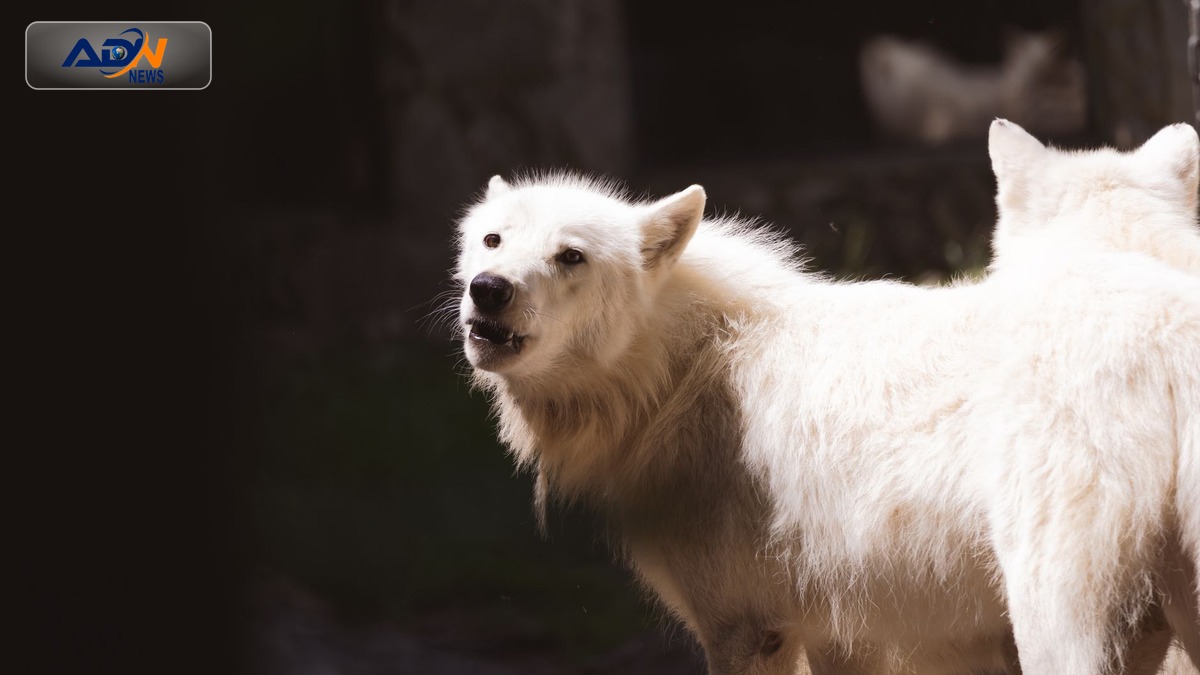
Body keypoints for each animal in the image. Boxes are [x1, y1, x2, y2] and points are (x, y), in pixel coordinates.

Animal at [452, 169, 1200, 674]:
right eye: (492, 239)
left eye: (570, 255)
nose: (487, 289)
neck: (685, 372)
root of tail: (1171, 336)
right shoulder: (843, 635)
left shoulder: (748, 627)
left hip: (1054, 619)